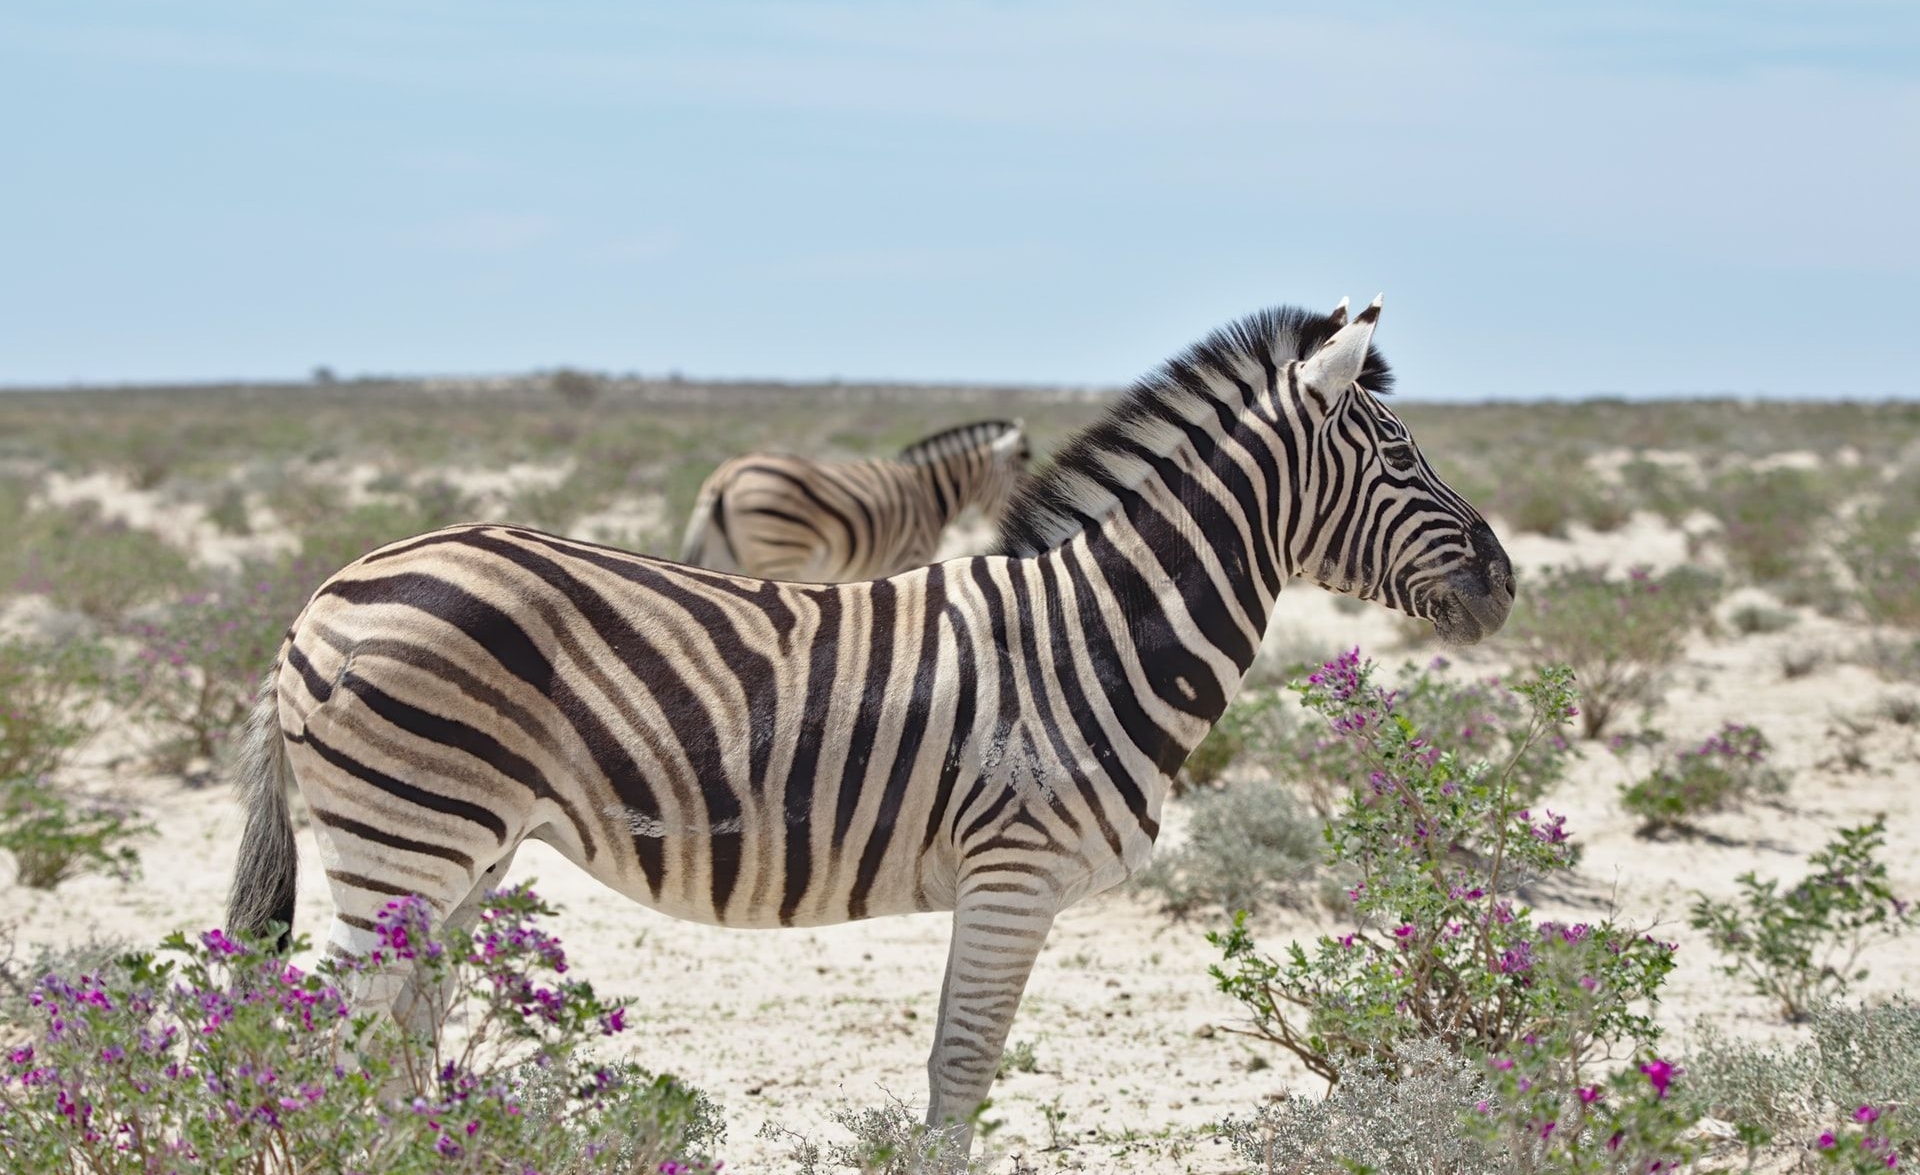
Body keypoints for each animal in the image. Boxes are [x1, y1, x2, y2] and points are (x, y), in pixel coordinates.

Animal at [679, 420, 1036, 579]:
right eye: (1021, 477)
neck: (930, 492)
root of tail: (725, 476)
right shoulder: (909, 557)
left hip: (722, 554)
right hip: (779, 554)